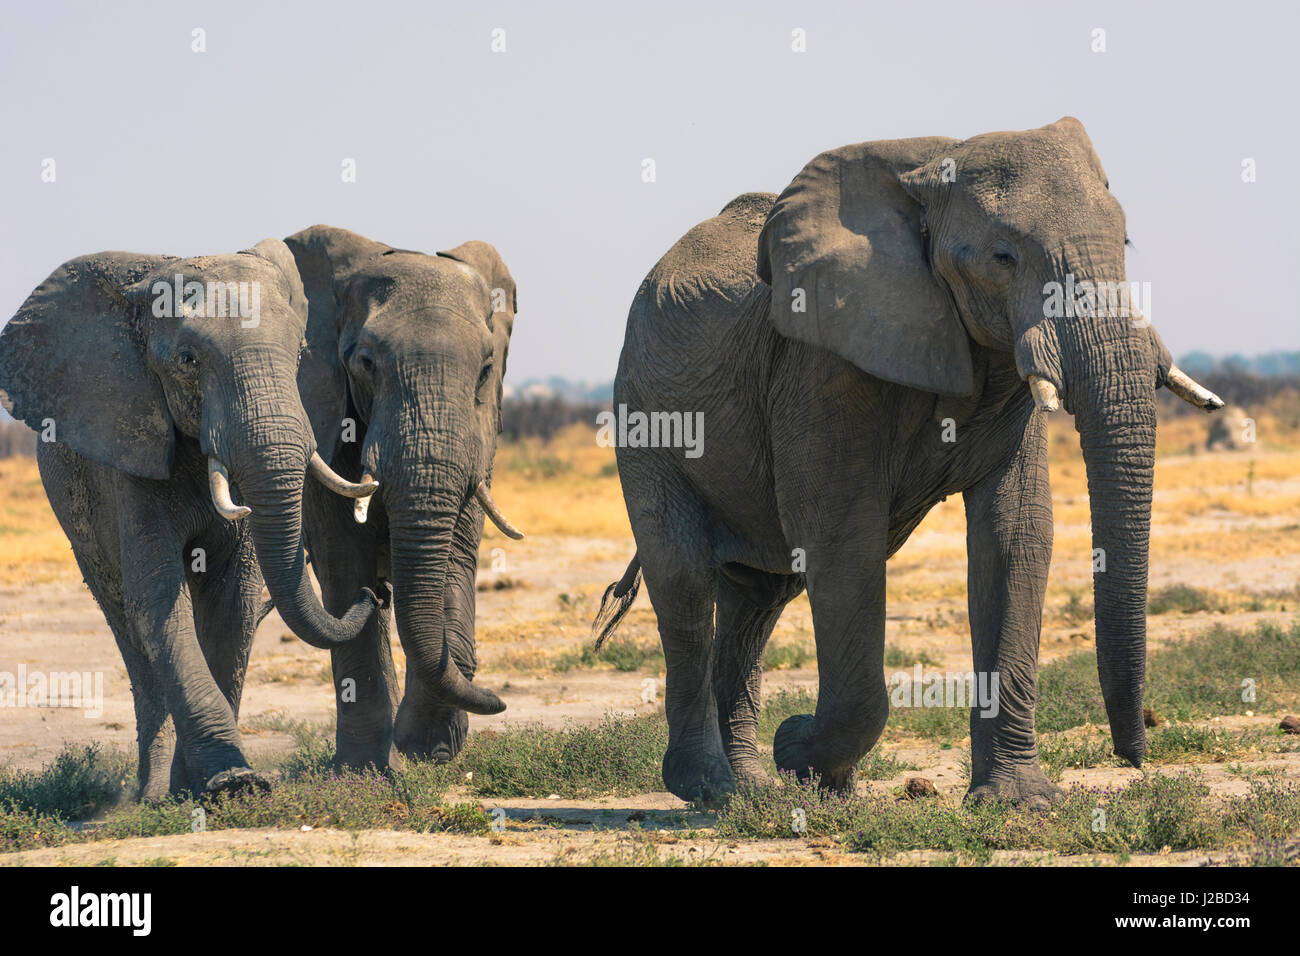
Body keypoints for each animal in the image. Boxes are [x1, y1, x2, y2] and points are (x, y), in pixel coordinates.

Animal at [0, 239, 382, 801]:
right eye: (187, 361)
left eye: (297, 355)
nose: (373, 594)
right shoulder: (130, 449)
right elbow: (158, 600)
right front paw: (232, 783)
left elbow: (232, 603)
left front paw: (211, 787)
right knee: (127, 624)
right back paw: (148, 795)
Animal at [286, 223, 522, 770]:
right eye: (366, 363)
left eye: (485, 369)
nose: (501, 700)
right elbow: (342, 558)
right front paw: (366, 770)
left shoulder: (480, 437)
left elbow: (454, 556)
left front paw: (428, 751)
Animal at [595, 119, 1222, 806]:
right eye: (1003, 257)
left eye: (1126, 241)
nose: (1133, 755)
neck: (933, 168)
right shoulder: (823, 366)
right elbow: (841, 539)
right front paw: (803, 753)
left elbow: (1015, 533)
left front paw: (1018, 803)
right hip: (645, 413)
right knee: (684, 578)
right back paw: (711, 788)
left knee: (760, 595)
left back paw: (755, 790)